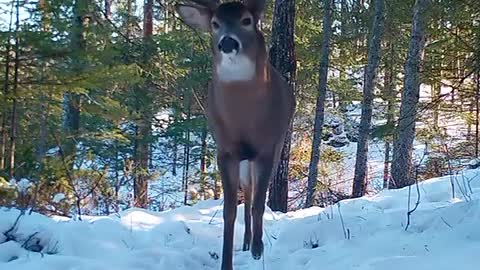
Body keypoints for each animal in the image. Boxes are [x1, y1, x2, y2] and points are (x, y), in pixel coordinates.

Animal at [175, 1, 294, 268]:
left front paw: (259, 248)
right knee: (247, 194)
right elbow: (229, 210)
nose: (227, 42)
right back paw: (247, 241)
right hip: (243, 161)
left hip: (273, 148)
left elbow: (260, 203)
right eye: (215, 24)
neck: (243, 118)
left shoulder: (266, 148)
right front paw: (227, 262)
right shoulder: (226, 151)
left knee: (255, 195)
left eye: (247, 20)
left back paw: (254, 244)